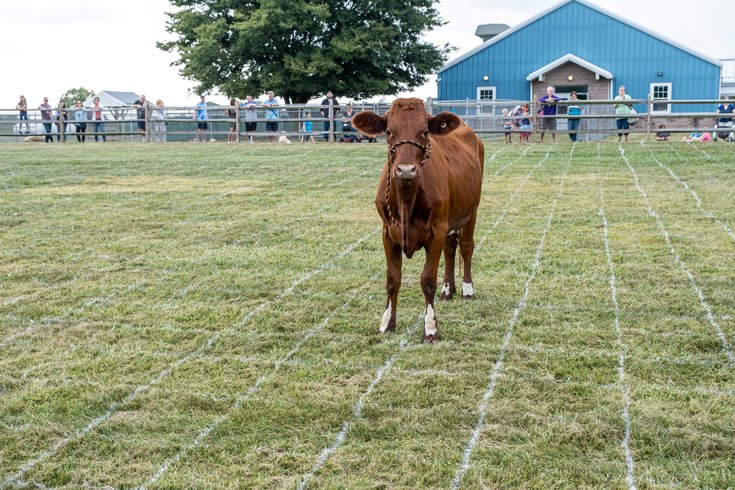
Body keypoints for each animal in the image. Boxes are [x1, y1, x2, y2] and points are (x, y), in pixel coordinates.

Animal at [352, 98, 484, 342]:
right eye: (389, 132)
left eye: (424, 132)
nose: (406, 170)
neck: (406, 200)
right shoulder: (387, 232)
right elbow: (392, 280)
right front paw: (387, 323)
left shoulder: (436, 230)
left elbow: (427, 281)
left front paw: (430, 328)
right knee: (451, 247)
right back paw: (448, 289)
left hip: (472, 210)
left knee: (466, 246)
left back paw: (466, 289)